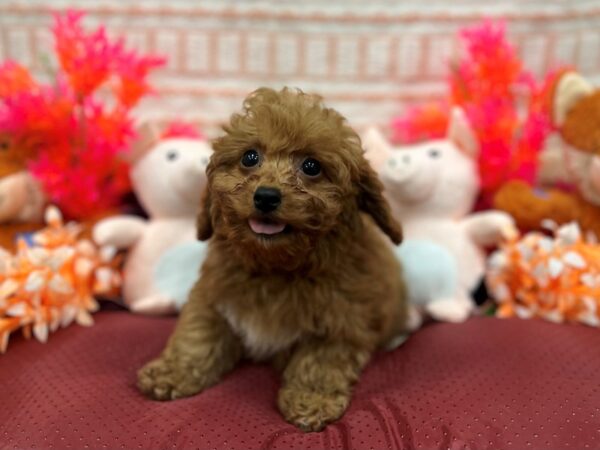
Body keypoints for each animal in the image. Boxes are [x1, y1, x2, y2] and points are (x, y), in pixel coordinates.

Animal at [138, 88, 408, 432]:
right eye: (250, 157)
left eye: (311, 166)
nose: (266, 196)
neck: (276, 268)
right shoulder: (211, 296)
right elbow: (197, 335)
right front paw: (172, 372)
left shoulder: (343, 320)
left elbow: (319, 361)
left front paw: (311, 400)